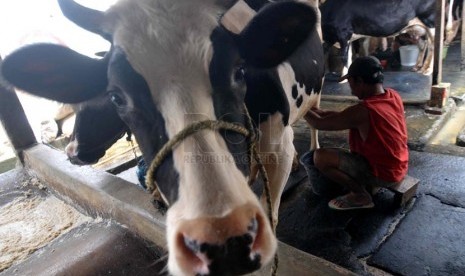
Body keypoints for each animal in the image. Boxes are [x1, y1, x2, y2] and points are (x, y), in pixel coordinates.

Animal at [0, 1, 324, 274]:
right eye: (116, 96)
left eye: (239, 71)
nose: (72, 151)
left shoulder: (279, 147)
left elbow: (272, 213)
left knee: (315, 122)